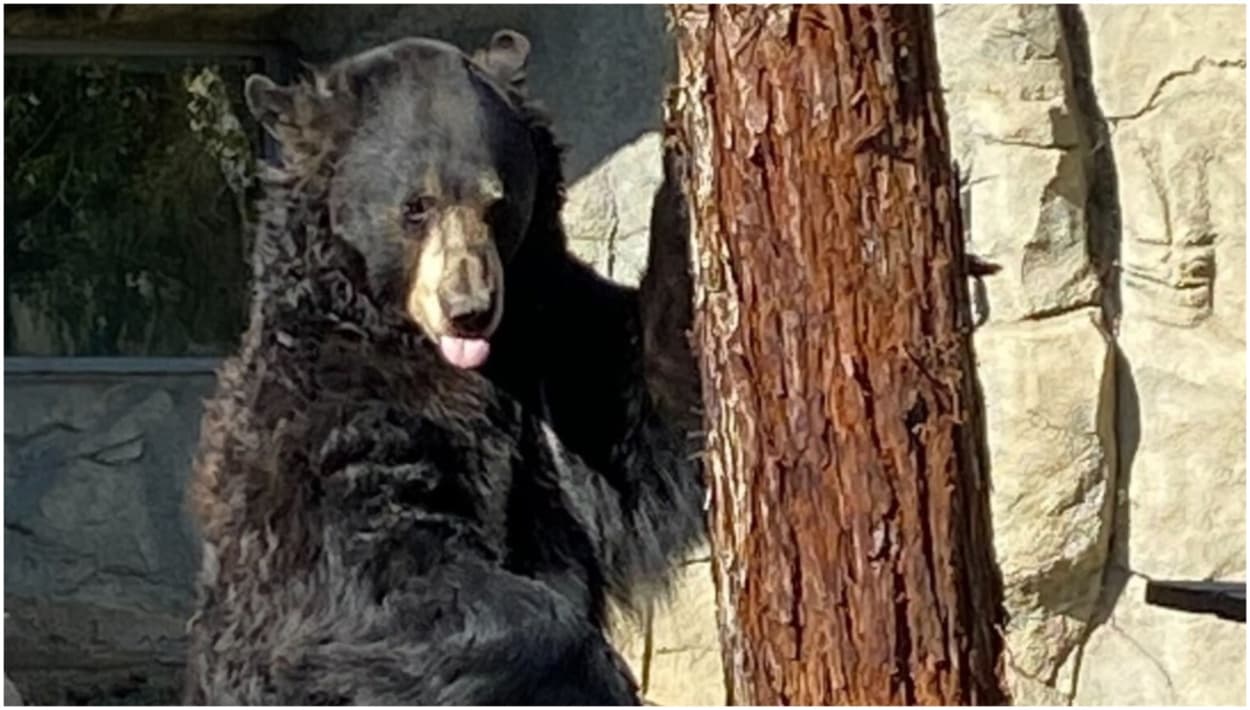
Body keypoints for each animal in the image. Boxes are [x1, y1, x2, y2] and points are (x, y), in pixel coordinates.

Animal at [182, 30, 704, 705]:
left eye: (497, 202)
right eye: (416, 206)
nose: (470, 310)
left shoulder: (553, 350)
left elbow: (643, 418)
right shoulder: (325, 422)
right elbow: (380, 569)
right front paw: (599, 672)